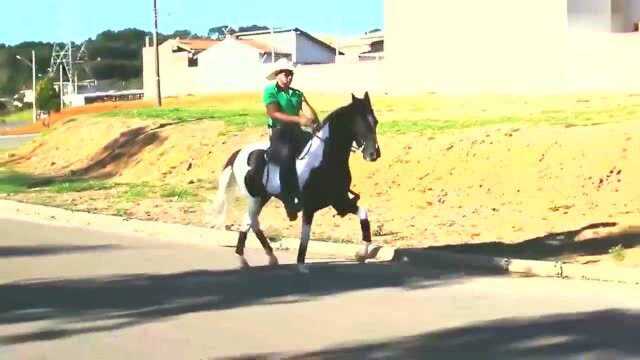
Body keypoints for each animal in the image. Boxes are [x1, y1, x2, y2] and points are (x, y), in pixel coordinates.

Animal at [209, 92, 380, 272]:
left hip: (262, 197)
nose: (373, 154)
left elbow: (364, 216)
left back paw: (267, 257)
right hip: (255, 198)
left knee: (251, 223)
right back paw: (245, 259)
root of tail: (240, 152)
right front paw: (301, 264)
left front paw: (362, 253)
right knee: (249, 223)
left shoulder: (340, 201)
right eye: (359, 123)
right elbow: (305, 236)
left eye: (375, 121)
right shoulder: (310, 207)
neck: (323, 159)